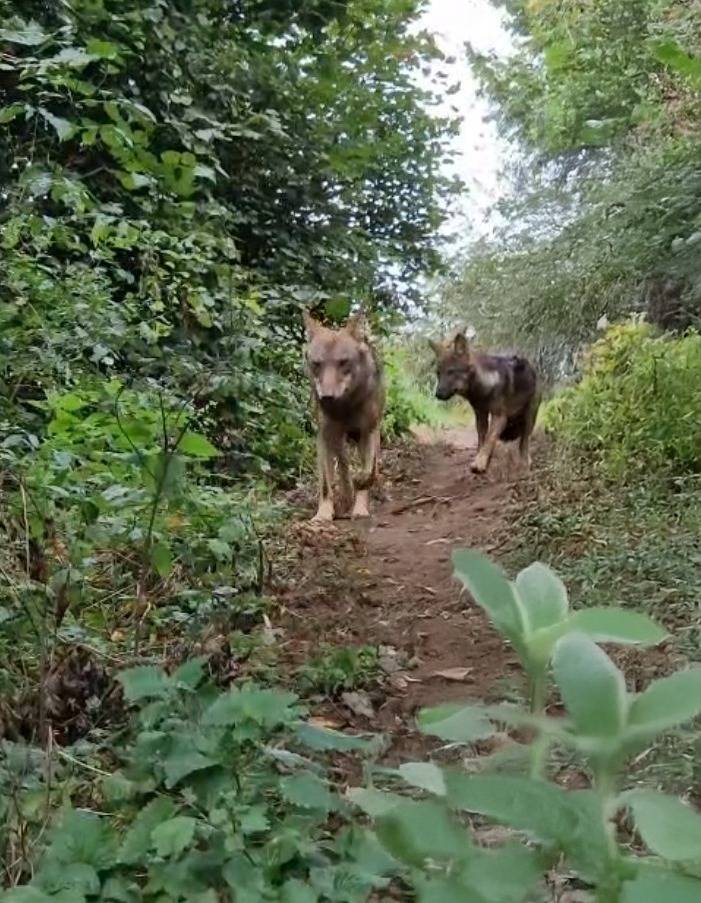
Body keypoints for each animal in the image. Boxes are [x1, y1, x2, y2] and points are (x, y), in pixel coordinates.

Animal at [303, 310, 384, 522]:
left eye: (343, 362)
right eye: (317, 364)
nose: (327, 397)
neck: (345, 407)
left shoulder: (367, 432)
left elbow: (369, 470)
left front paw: (361, 507)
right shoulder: (324, 436)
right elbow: (326, 484)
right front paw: (323, 514)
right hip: (338, 439)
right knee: (343, 465)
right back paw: (347, 496)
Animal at [430, 332, 540, 475]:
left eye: (451, 371)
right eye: (438, 373)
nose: (437, 394)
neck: (485, 386)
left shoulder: (500, 417)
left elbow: (489, 440)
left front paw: (479, 463)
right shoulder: (480, 416)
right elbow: (482, 441)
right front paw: (481, 461)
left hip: (529, 418)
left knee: (524, 443)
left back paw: (524, 464)